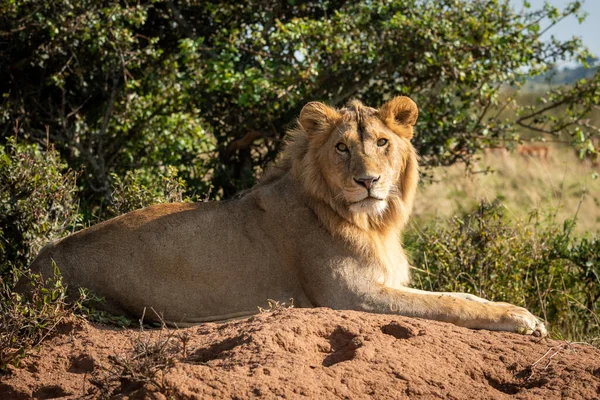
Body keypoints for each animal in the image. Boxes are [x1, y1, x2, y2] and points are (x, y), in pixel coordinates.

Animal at [28, 96, 548, 334]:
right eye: (342, 148)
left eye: (382, 142)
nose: (368, 181)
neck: (372, 222)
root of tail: (34, 263)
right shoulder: (351, 296)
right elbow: (447, 304)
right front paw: (522, 320)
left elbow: (460, 293)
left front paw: (523, 311)